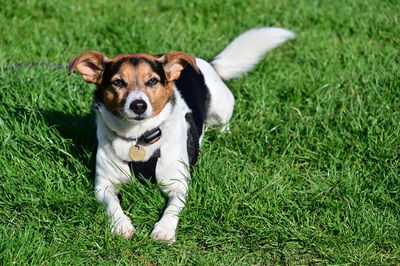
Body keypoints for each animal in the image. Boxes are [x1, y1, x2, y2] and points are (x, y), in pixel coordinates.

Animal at [68, 27, 294, 243]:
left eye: (152, 81)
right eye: (118, 82)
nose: (139, 105)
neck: (138, 137)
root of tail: (208, 63)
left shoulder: (178, 184)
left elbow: (172, 208)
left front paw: (164, 230)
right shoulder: (103, 185)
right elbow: (113, 203)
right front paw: (121, 225)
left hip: (221, 109)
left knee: (223, 124)